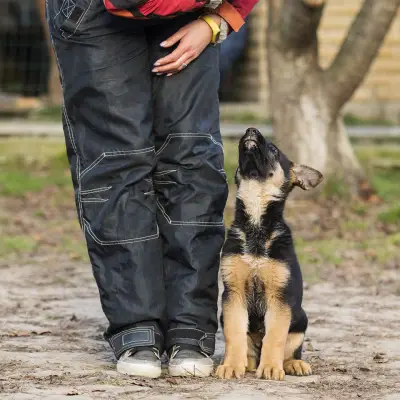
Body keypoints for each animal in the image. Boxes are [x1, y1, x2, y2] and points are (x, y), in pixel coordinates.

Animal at [216, 128, 322, 382]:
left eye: (274, 149)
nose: (251, 130)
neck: (256, 224)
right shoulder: (233, 295)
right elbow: (234, 334)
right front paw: (231, 365)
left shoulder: (279, 298)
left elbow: (275, 337)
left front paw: (272, 368)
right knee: (249, 349)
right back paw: (247, 363)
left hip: (300, 319)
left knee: (289, 350)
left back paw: (294, 364)